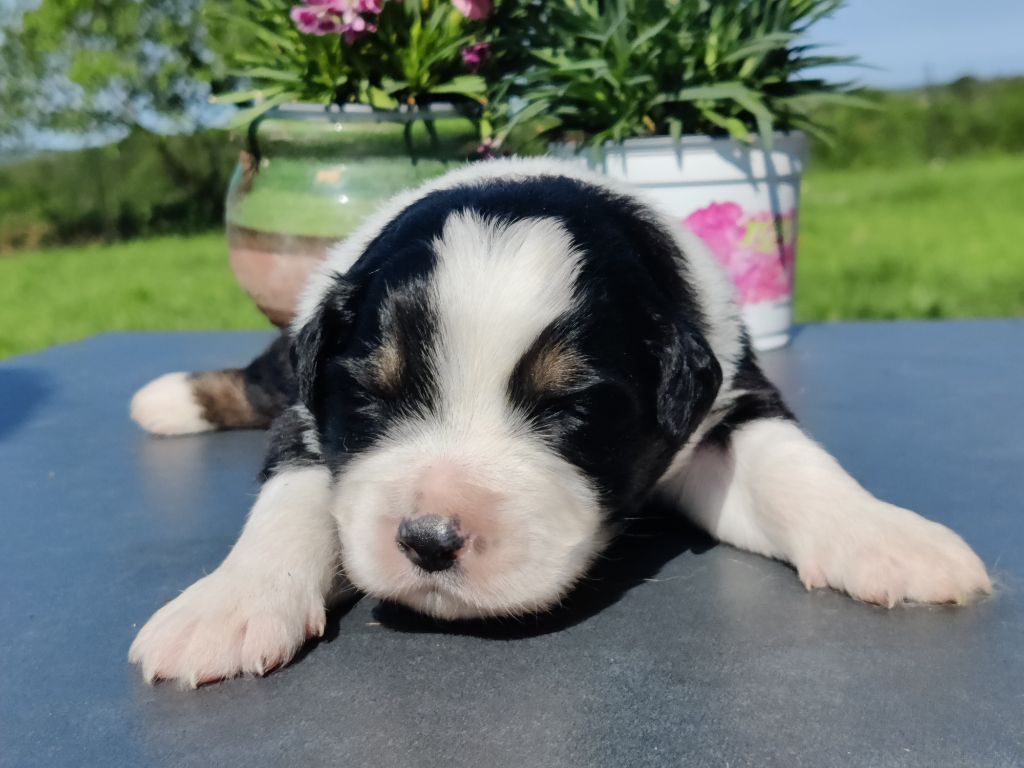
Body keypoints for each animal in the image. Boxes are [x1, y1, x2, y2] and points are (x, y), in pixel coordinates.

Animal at [128, 158, 991, 687]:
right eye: (371, 393)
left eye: (570, 407)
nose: (431, 539)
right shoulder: (313, 421)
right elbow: (289, 507)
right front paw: (225, 607)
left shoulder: (726, 406)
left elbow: (793, 466)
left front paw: (888, 539)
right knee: (265, 371)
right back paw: (168, 400)